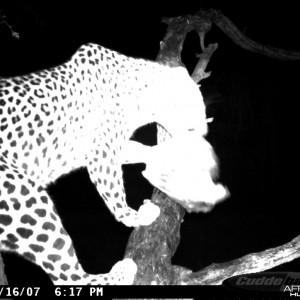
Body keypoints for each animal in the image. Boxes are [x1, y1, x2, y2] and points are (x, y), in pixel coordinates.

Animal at [0, 42, 210, 284]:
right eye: (192, 121)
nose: (202, 136)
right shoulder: (102, 152)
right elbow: (115, 196)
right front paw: (135, 216)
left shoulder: (108, 144)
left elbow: (139, 149)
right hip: (24, 194)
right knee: (68, 275)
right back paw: (121, 272)